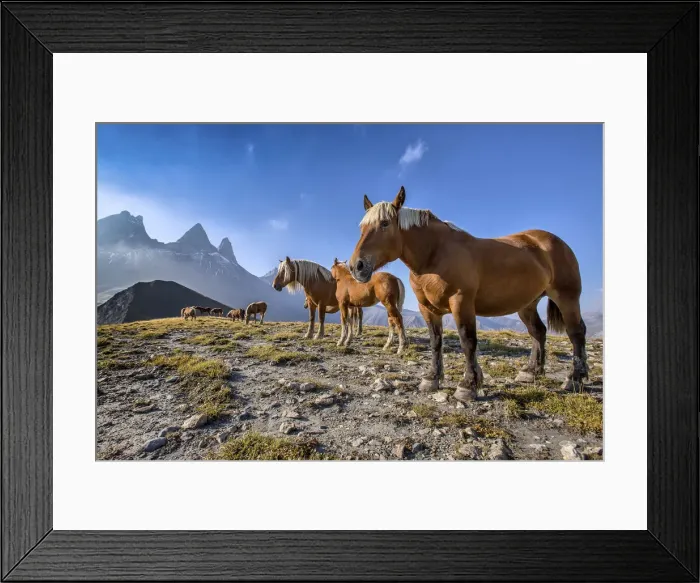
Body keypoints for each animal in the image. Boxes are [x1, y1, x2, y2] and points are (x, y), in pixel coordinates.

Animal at [347, 186, 590, 403]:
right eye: (362, 227)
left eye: (385, 224)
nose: (356, 266)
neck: (435, 255)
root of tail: (553, 242)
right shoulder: (428, 308)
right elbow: (435, 341)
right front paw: (432, 378)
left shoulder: (461, 303)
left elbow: (467, 341)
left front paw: (468, 385)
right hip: (527, 304)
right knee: (538, 332)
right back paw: (531, 372)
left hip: (566, 297)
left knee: (576, 333)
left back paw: (574, 378)